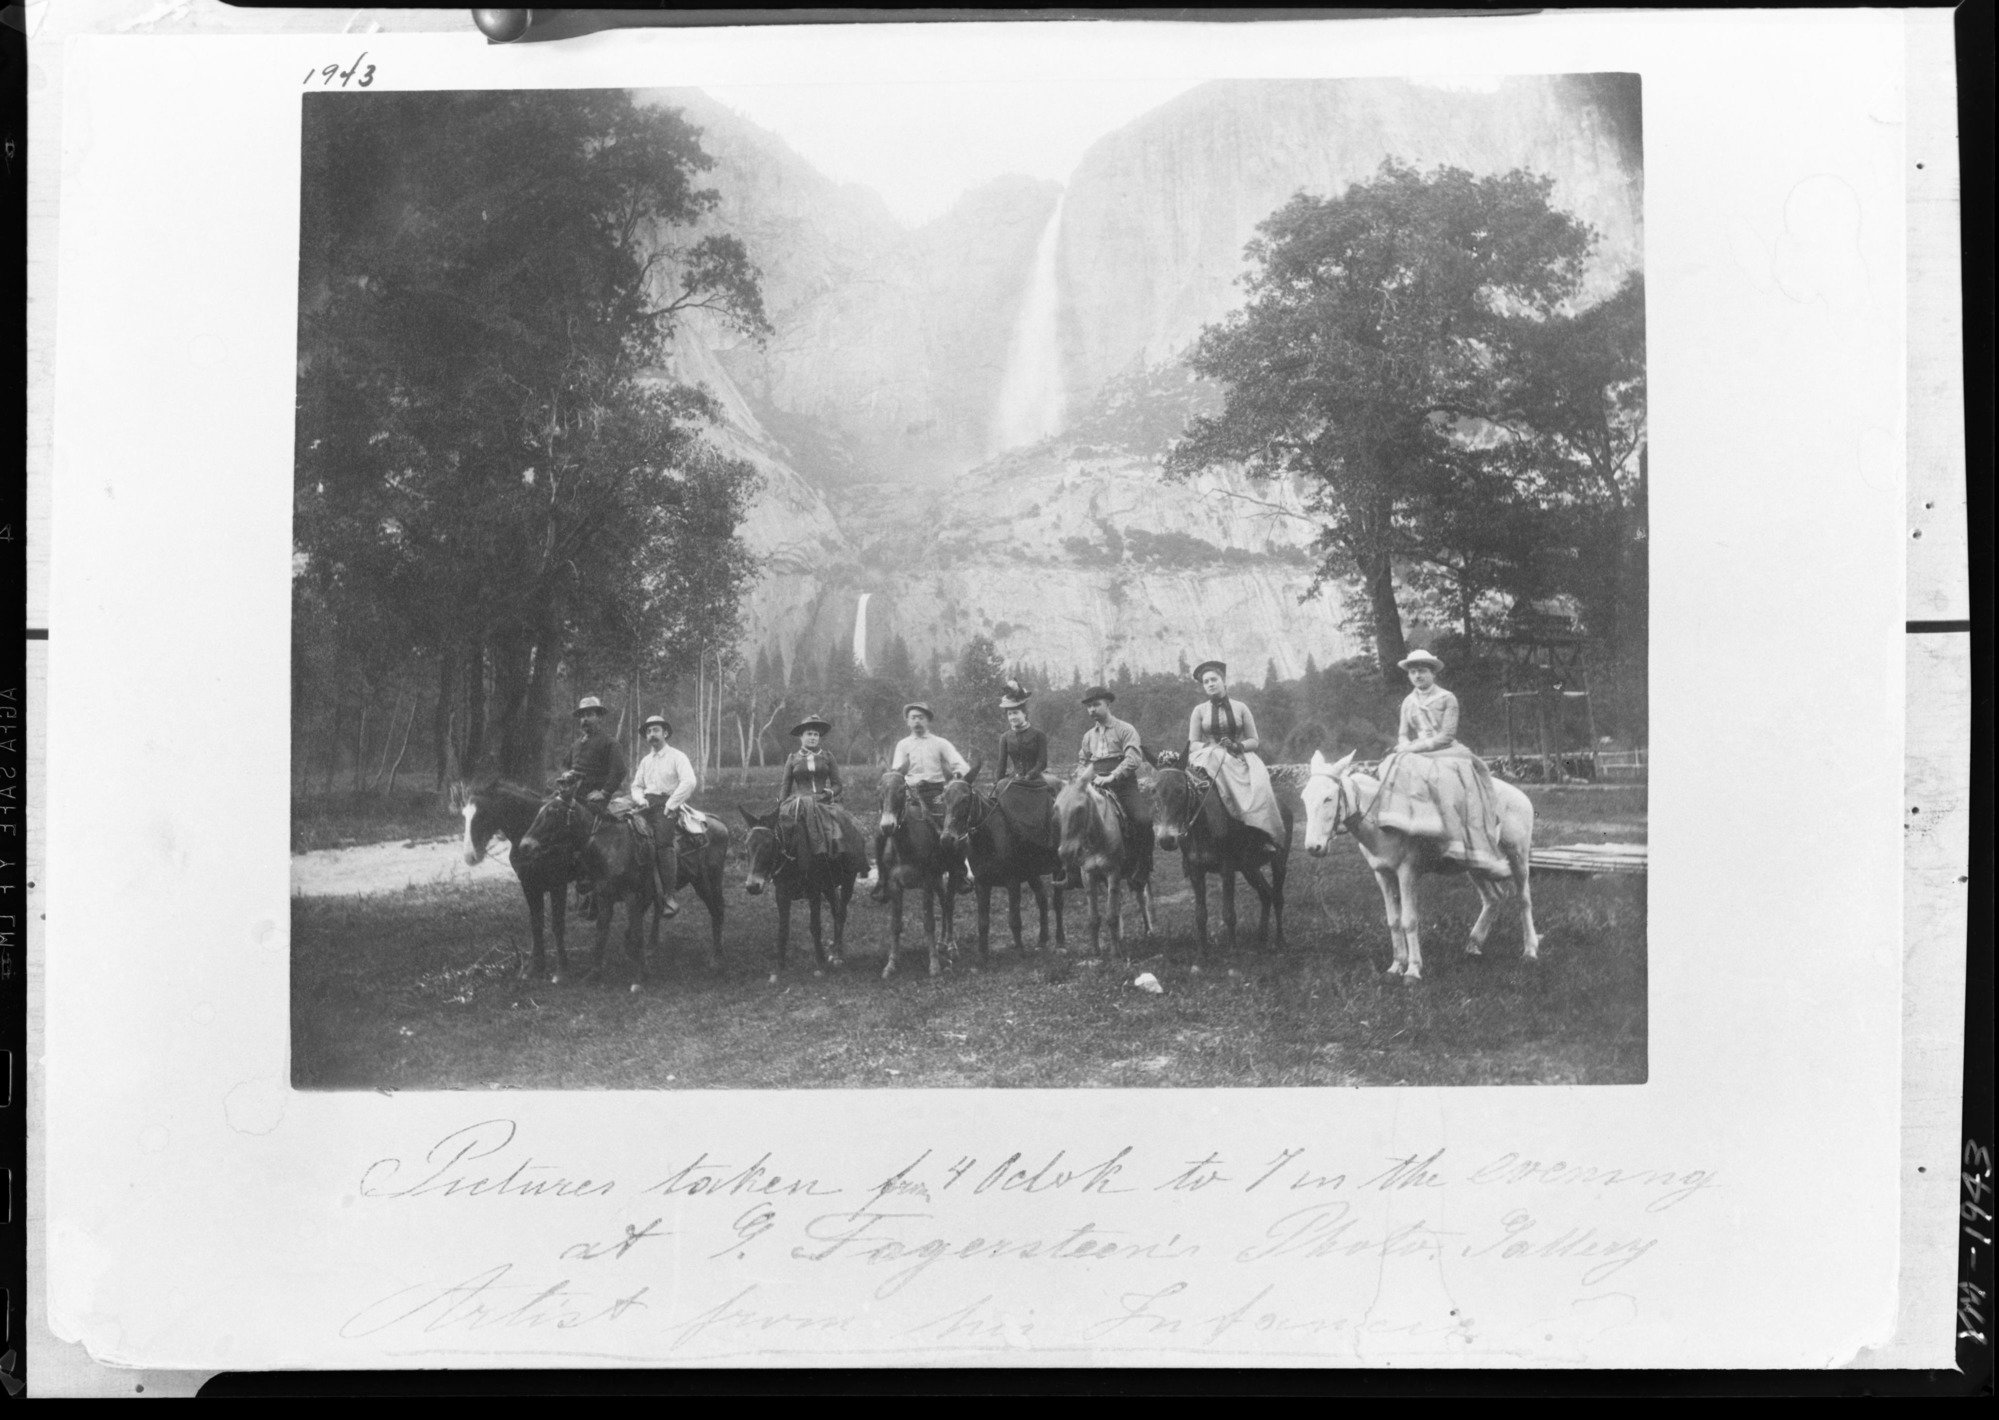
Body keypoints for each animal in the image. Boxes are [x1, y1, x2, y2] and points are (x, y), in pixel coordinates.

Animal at [731, 800, 863, 980]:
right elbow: (783, 929)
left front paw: (820, 963)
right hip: (828, 886)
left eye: (769, 845)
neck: (792, 853)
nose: (752, 886)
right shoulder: (782, 894)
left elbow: (815, 927)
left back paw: (837, 954)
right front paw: (779, 967)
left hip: (848, 881)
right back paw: (835, 949)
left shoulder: (814, 893)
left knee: (841, 913)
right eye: (746, 845)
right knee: (836, 911)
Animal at [879, 772, 963, 984]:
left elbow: (928, 922)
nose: (887, 826)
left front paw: (934, 965)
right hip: (937, 880)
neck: (906, 845)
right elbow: (895, 925)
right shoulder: (895, 885)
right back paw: (942, 943)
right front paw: (891, 965)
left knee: (949, 905)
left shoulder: (926, 883)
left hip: (950, 875)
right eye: (879, 790)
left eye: (901, 790)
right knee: (943, 902)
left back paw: (951, 946)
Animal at [935, 780, 1063, 968]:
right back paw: (1042, 940)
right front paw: (982, 956)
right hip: (1032, 873)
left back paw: (1060, 943)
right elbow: (982, 922)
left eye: (964, 799)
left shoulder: (1012, 882)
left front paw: (1019, 952)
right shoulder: (982, 884)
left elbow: (1014, 920)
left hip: (1059, 869)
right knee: (1042, 898)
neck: (989, 837)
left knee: (1058, 903)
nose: (946, 839)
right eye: (944, 799)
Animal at [1159, 756, 1295, 956]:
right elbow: (1200, 914)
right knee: (1266, 895)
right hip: (1249, 869)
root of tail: (1283, 805)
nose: (1166, 840)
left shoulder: (1227, 870)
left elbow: (1229, 913)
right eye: (1154, 791)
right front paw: (1203, 952)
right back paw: (1261, 937)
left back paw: (1280, 941)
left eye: (1180, 790)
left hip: (1278, 862)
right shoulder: (1196, 871)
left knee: (1278, 898)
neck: (1203, 826)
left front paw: (1232, 950)